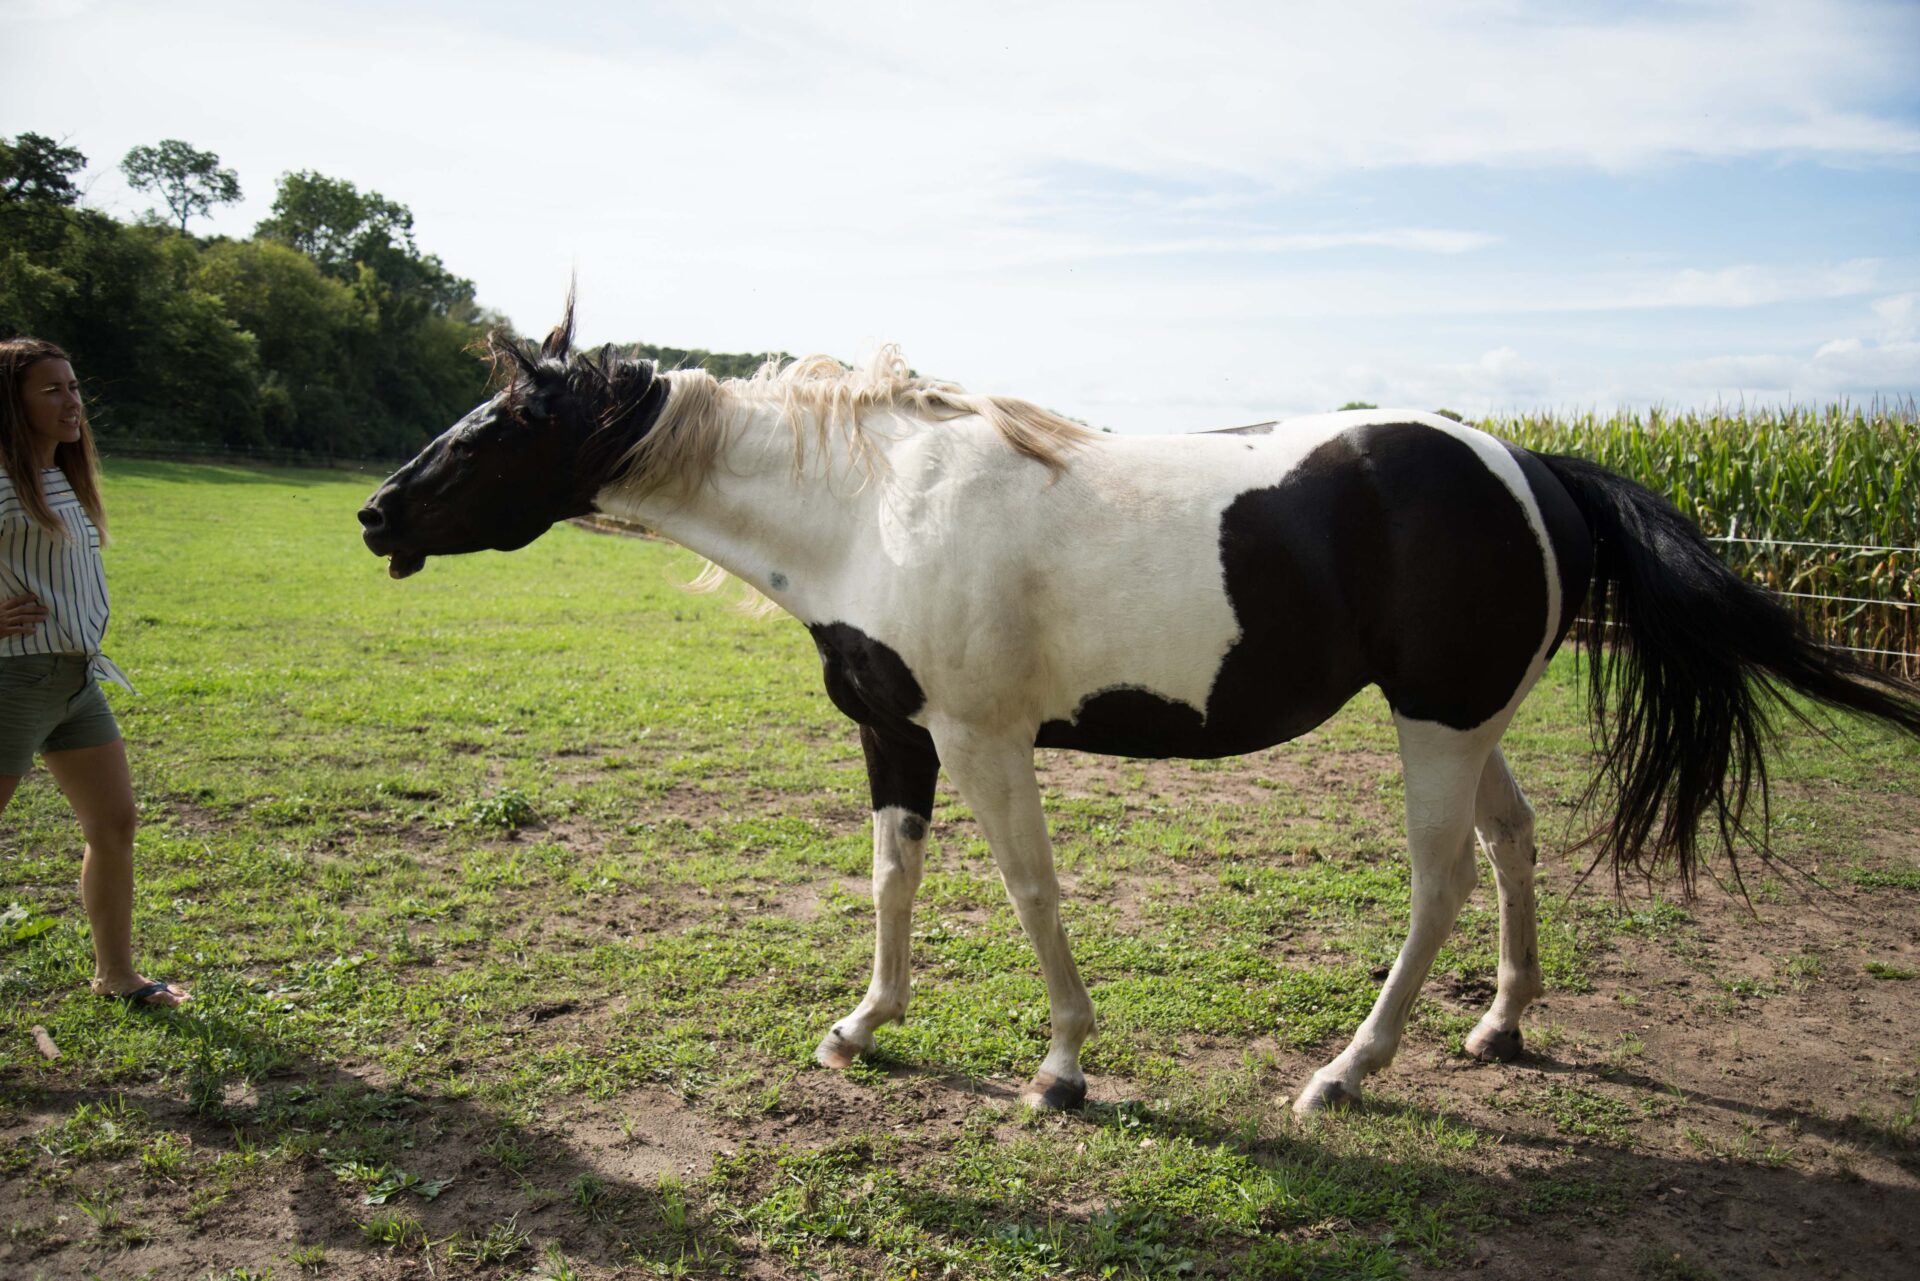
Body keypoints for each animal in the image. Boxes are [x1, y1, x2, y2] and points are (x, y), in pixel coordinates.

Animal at [357, 305, 1920, 1113]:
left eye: (498, 426)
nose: (377, 515)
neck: (870, 509)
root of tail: (1532, 465)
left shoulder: (983, 740)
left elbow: (1030, 890)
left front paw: (1060, 1063)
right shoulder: (894, 736)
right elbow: (891, 882)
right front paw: (862, 1026)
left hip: (1431, 727)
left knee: (1438, 886)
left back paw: (1348, 1070)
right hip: (1468, 722)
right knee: (1513, 845)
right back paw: (1500, 1029)